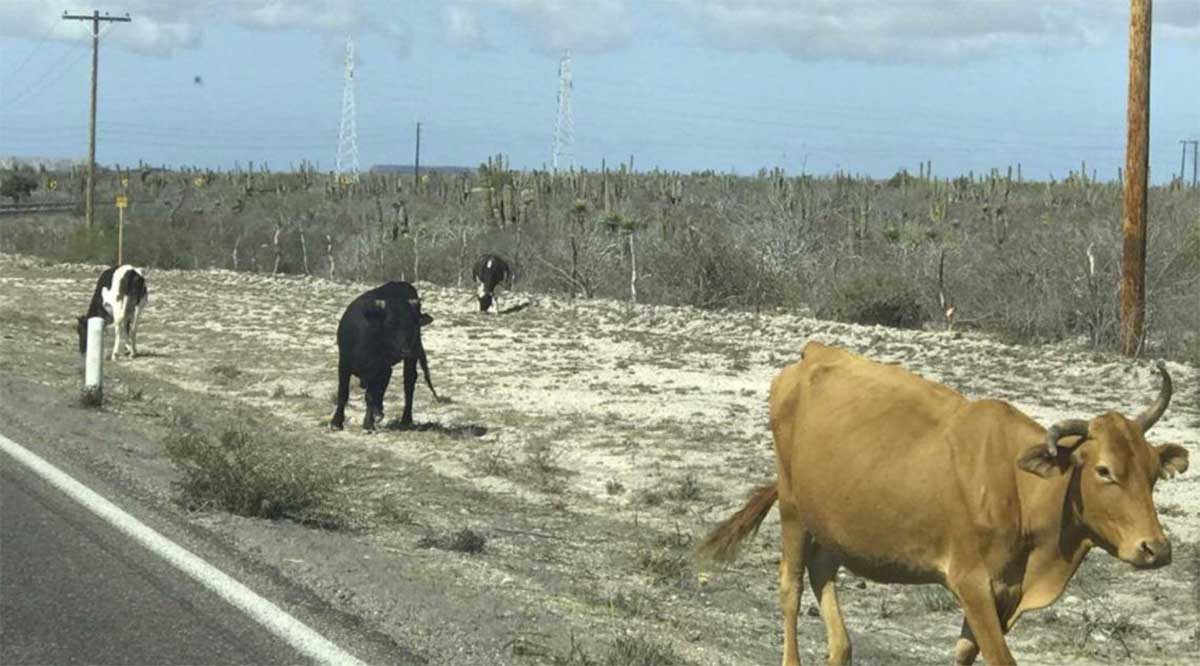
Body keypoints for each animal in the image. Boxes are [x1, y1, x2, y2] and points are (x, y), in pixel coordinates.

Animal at [328, 282, 441, 432]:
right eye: (390, 323)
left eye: (412, 325)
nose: (406, 350)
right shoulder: (344, 365)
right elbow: (343, 393)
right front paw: (336, 422)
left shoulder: (378, 369)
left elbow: (371, 395)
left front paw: (368, 423)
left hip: (410, 358)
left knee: (408, 383)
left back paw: (405, 419)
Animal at [700, 343, 1185, 666]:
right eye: (1104, 471)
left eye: (1152, 472)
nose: (1156, 549)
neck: (1017, 486)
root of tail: (812, 354)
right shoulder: (972, 583)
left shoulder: (1004, 592)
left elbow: (968, 650)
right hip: (793, 508)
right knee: (791, 587)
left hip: (835, 522)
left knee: (822, 571)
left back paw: (840, 650)